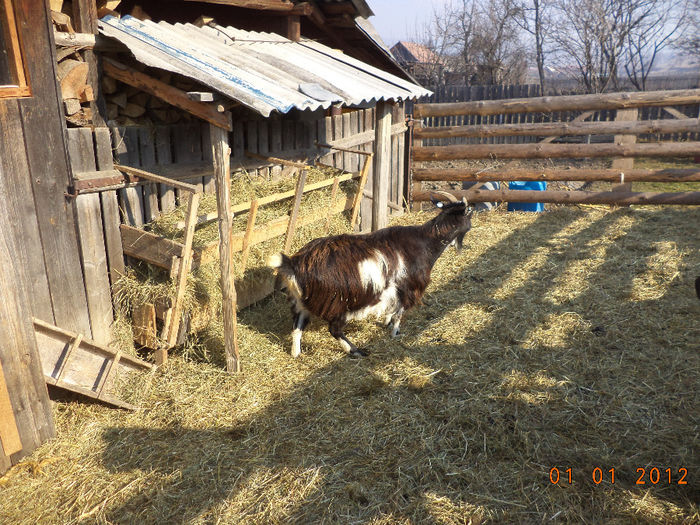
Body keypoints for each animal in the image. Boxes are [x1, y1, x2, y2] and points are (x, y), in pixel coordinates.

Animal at [270, 192, 474, 356]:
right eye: (470, 211)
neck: (425, 243)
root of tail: (294, 264)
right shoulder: (409, 287)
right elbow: (399, 313)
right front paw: (394, 333)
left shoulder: (395, 290)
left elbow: (392, 310)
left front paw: (386, 322)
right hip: (339, 304)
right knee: (334, 330)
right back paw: (356, 351)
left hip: (300, 302)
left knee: (297, 328)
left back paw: (296, 353)